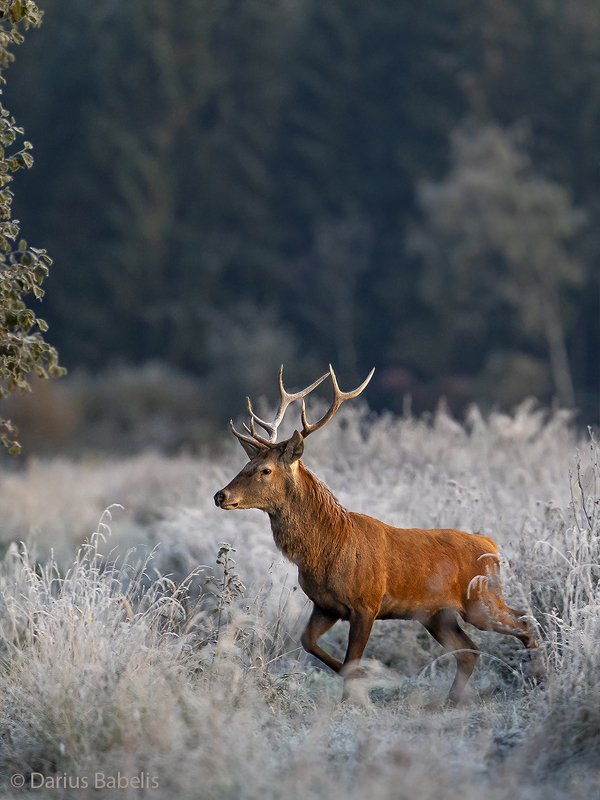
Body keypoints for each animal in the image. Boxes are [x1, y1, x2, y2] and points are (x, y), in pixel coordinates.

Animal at [214, 365, 544, 705]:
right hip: (437, 615)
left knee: (523, 622)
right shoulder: (325, 605)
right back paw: (451, 700)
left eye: (265, 469)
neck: (327, 548)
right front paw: (359, 682)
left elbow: (350, 660)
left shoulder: (366, 603)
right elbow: (309, 643)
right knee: (470, 650)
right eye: (246, 463)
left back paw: (541, 680)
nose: (221, 495)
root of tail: (492, 546)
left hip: (480, 599)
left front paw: (353, 699)